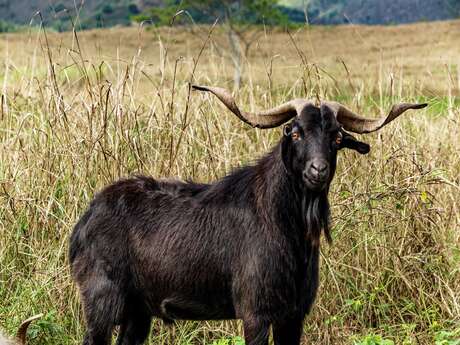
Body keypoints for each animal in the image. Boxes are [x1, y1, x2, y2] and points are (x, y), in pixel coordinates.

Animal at [69, 85, 428, 344]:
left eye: (337, 136)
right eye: (294, 131)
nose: (318, 171)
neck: (282, 225)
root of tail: (85, 219)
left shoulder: (293, 316)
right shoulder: (255, 313)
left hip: (138, 311)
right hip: (102, 300)